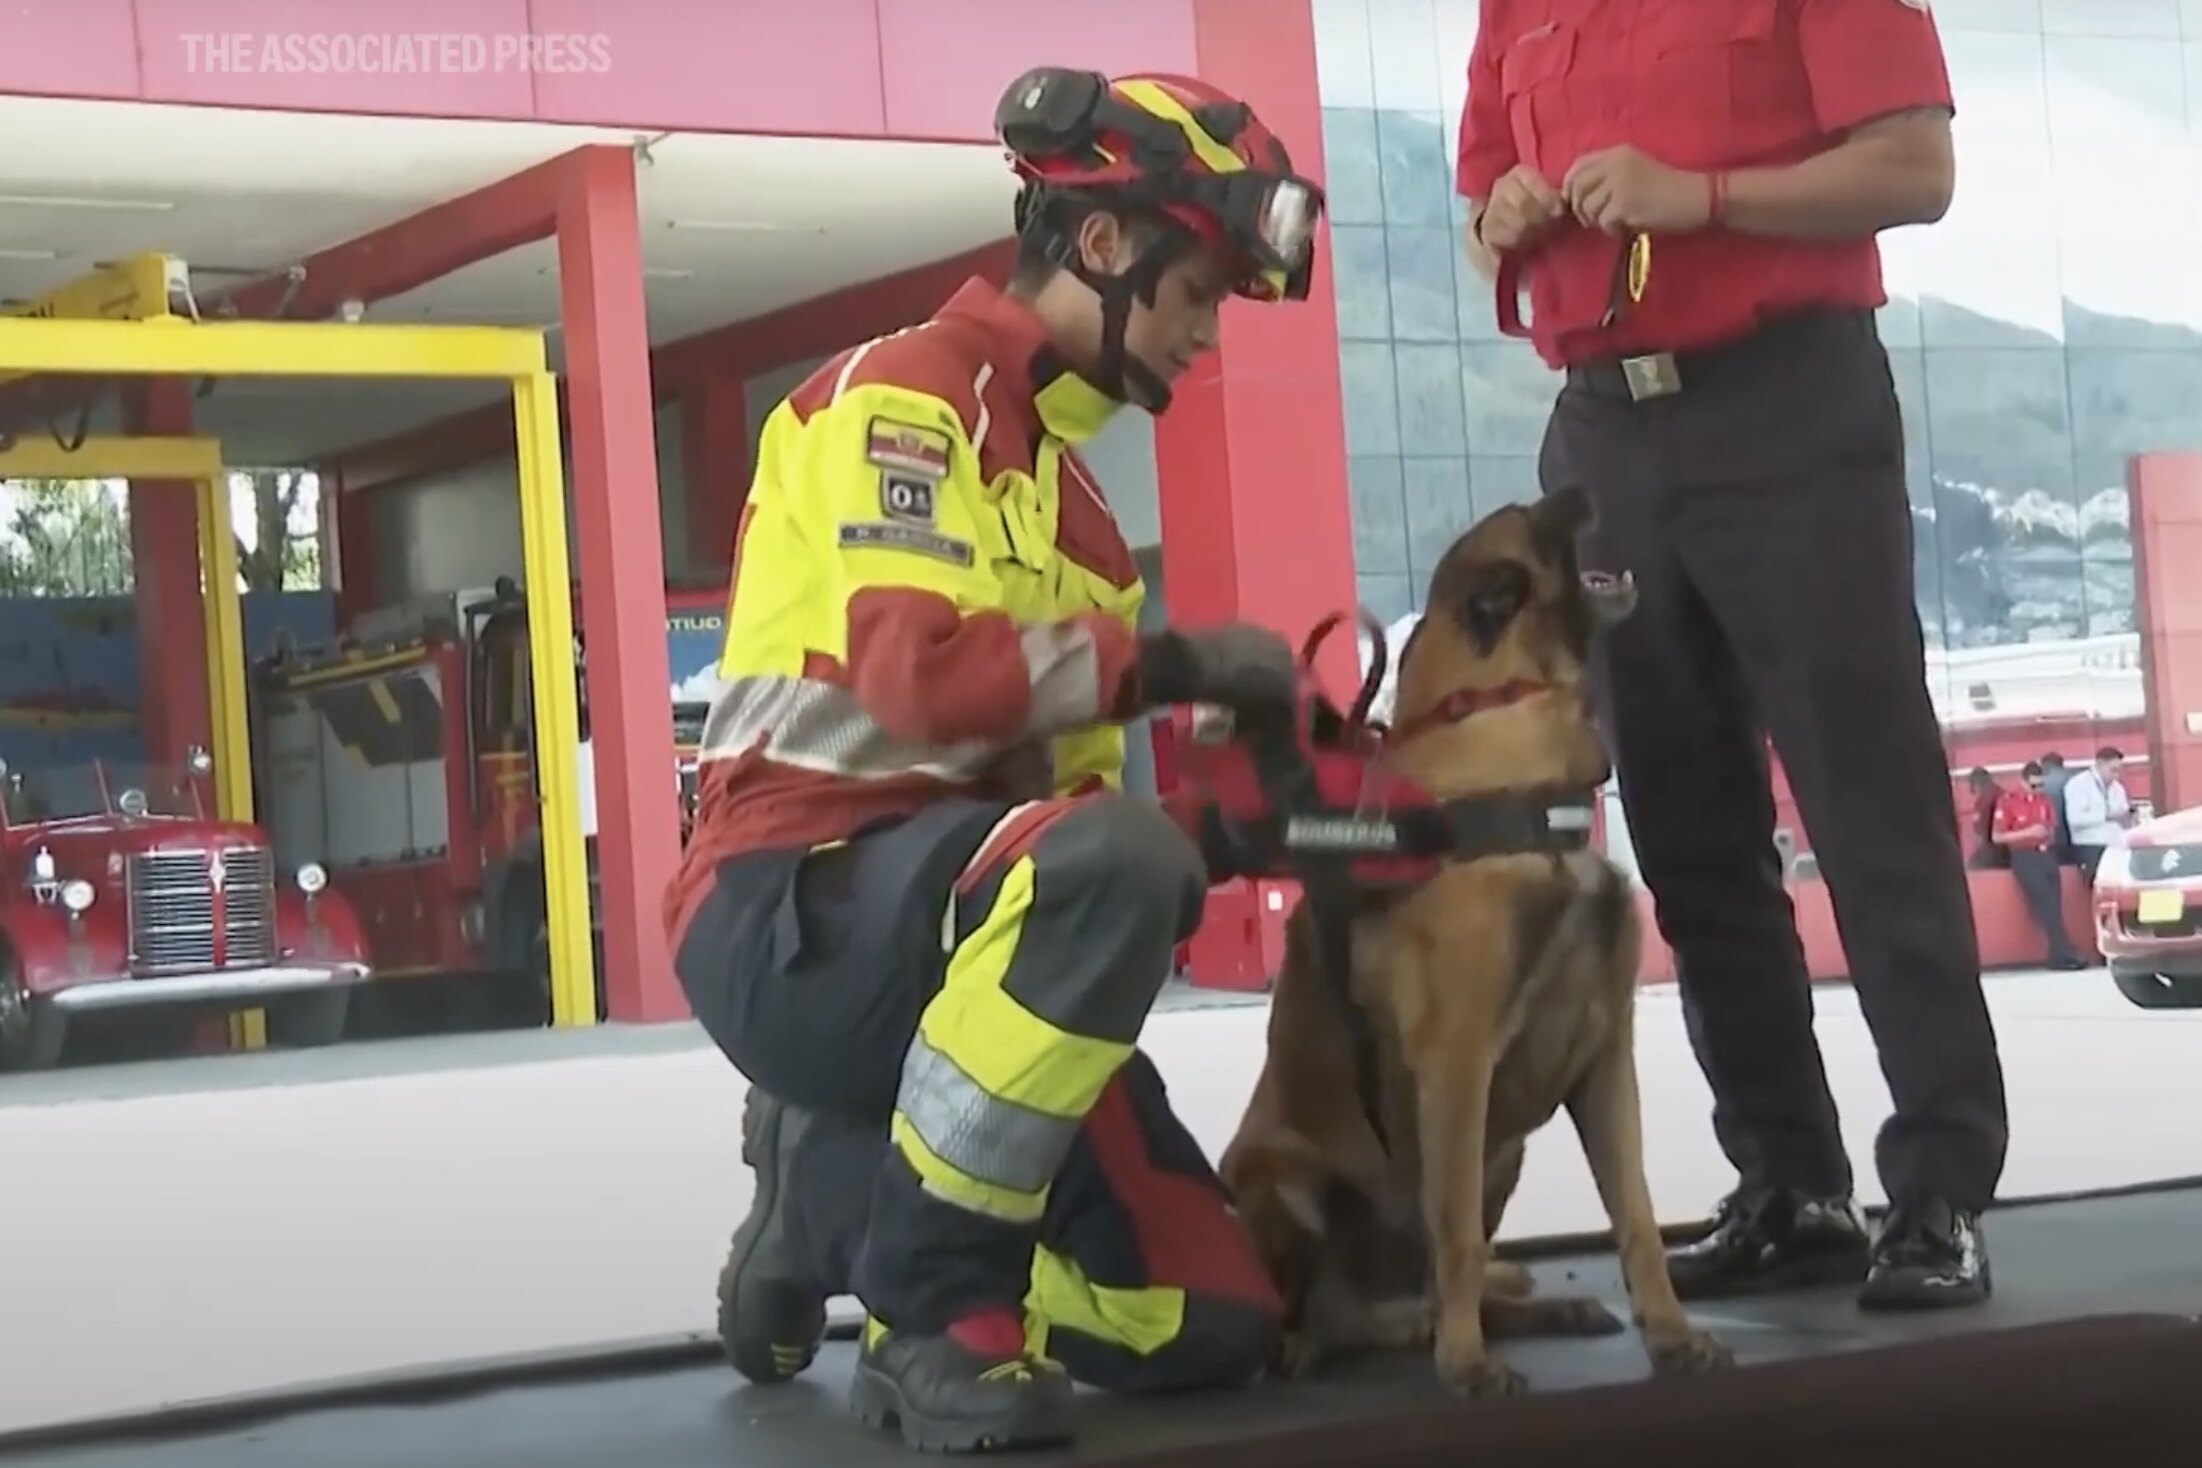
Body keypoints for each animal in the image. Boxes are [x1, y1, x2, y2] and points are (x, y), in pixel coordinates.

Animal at [1224, 490, 1735, 1399]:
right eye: (1532, 518)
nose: (1576, 490)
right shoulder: (1458, 1063)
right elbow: (1456, 1232)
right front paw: (1465, 1366)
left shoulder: (1607, 1061)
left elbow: (1636, 1217)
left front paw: (1672, 1335)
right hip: (1281, 1178)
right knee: (1353, 1299)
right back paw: (1333, 1344)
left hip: (1508, 1154)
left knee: (1441, 1283)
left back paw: (1537, 1312)